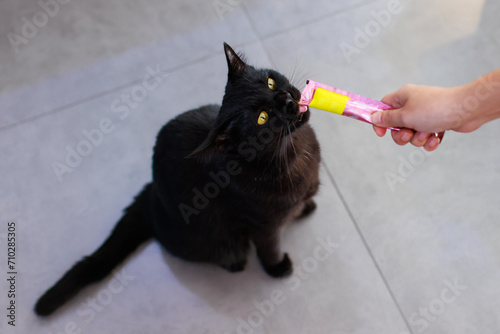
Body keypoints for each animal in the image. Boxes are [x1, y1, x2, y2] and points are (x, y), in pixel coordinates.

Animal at [37, 43, 322, 316]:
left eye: (270, 82)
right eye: (263, 117)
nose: (285, 98)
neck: (295, 151)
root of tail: (152, 194)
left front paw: (305, 207)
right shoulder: (263, 224)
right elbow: (270, 247)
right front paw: (278, 268)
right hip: (213, 241)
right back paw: (235, 263)